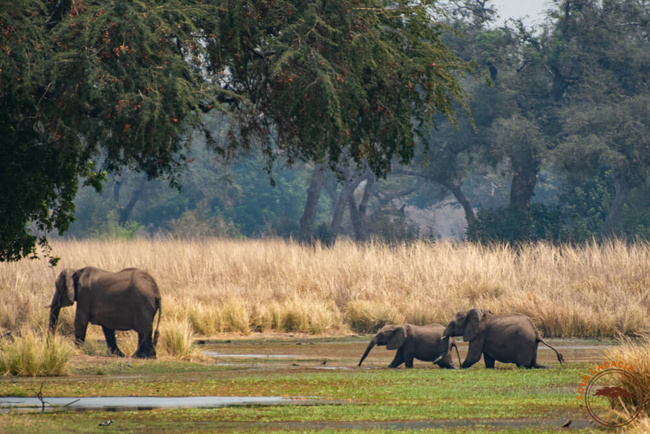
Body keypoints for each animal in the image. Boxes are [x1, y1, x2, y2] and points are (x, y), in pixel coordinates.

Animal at [430, 308, 560, 370]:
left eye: (452, 324)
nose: (455, 366)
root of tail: (536, 333)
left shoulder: (479, 333)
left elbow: (474, 356)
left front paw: (461, 368)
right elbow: (488, 359)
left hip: (525, 342)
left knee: (524, 365)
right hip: (532, 343)